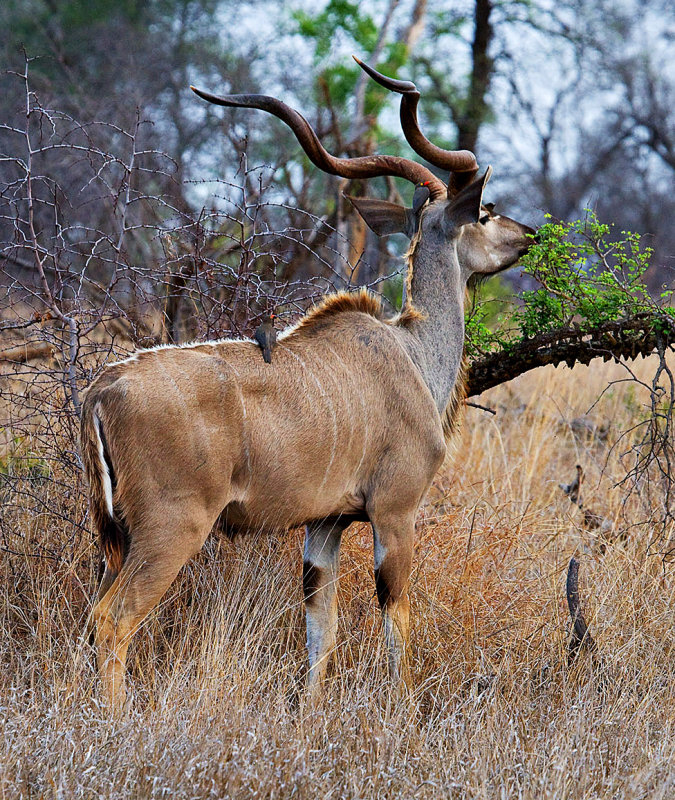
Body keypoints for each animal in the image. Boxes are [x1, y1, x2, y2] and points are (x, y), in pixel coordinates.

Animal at [80, 57, 532, 708]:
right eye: (486, 211)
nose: (530, 234)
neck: (413, 352)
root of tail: (102, 389)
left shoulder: (325, 524)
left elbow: (322, 623)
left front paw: (312, 708)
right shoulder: (395, 510)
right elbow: (396, 616)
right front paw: (401, 708)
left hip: (113, 536)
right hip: (172, 527)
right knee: (113, 619)